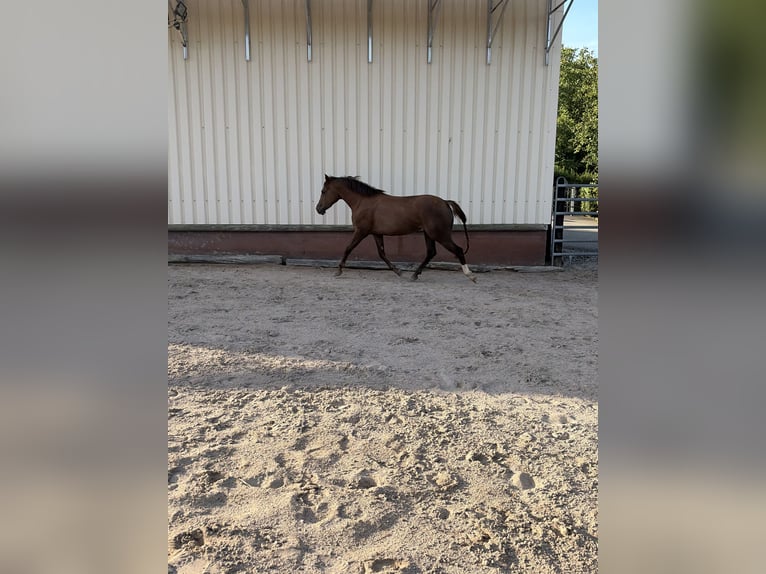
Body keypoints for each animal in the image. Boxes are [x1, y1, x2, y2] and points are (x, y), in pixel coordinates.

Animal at [315, 175, 477, 282]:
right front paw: (398, 271)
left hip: (439, 234)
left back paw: (470, 275)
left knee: (458, 250)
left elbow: (348, 248)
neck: (362, 202)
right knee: (431, 252)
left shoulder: (361, 231)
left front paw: (338, 271)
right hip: (429, 234)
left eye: (323, 191)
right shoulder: (376, 233)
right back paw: (414, 275)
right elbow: (382, 254)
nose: (318, 209)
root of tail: (445, 202)